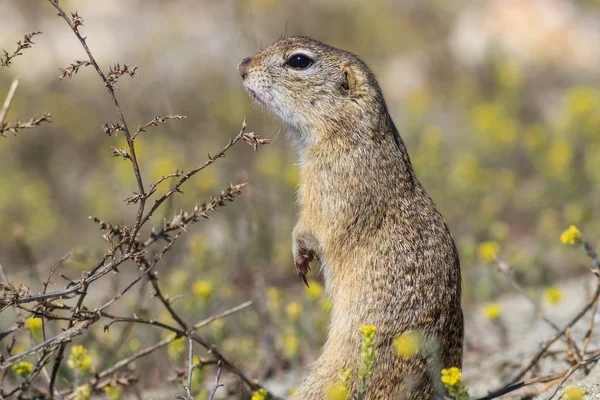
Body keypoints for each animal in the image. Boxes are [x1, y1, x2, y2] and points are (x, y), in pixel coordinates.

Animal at [237, 36, 462, 398]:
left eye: (299, 61)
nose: (242, 66)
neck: (345, 131)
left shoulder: (329, 187)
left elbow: (313, 225)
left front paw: (300, 255)